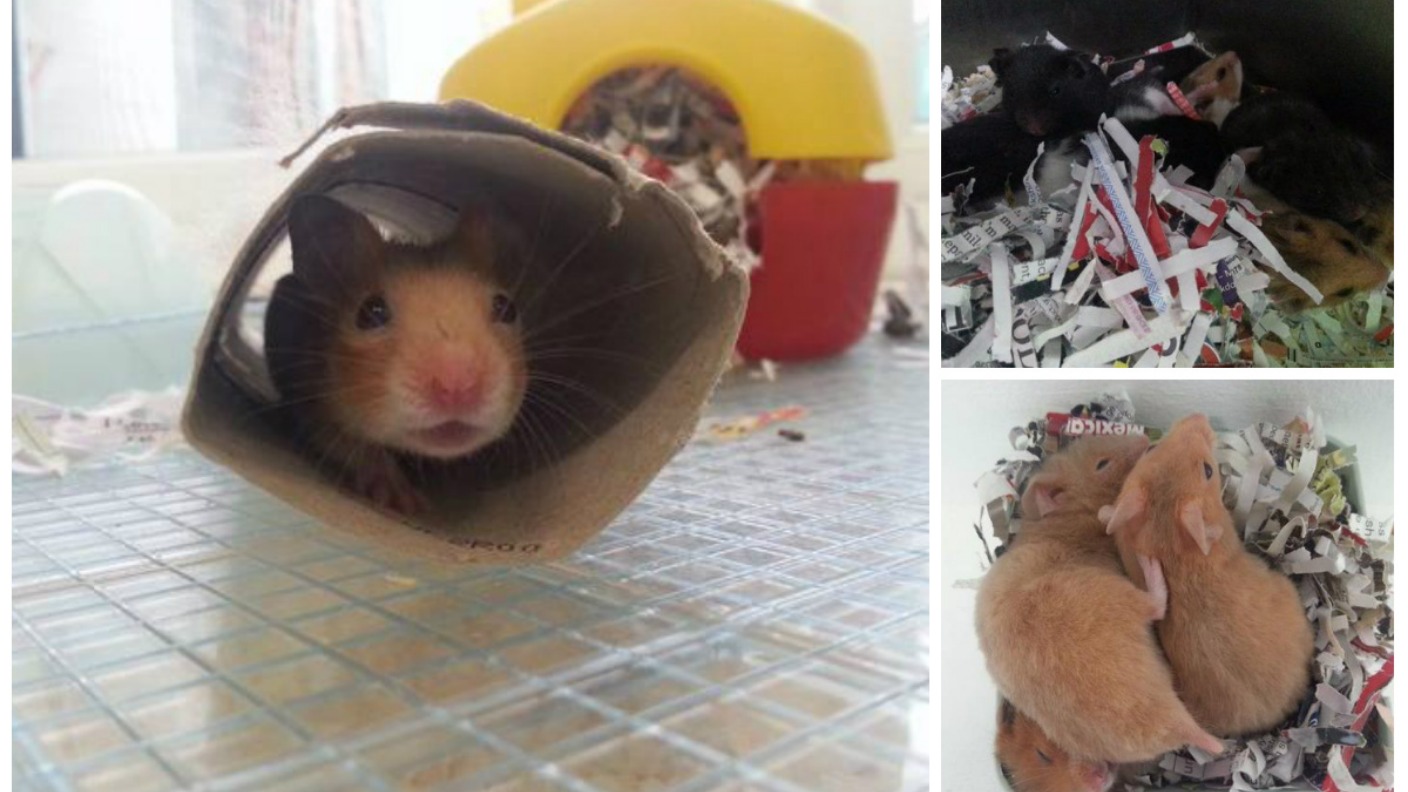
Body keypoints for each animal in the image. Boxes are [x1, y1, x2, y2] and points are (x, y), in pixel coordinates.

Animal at [264, 194, 529, 512]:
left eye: (507, 308)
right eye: (370, 313)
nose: (458, 388)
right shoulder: (314, 406)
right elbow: (360, 450)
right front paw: (406, 502)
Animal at [978, 435, 1225, 764]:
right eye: (1102, 464)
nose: (1146, 438)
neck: (1061, 523)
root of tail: (1175, 722)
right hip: (1112, 593)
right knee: (1155, 605)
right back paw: (1150, 566)